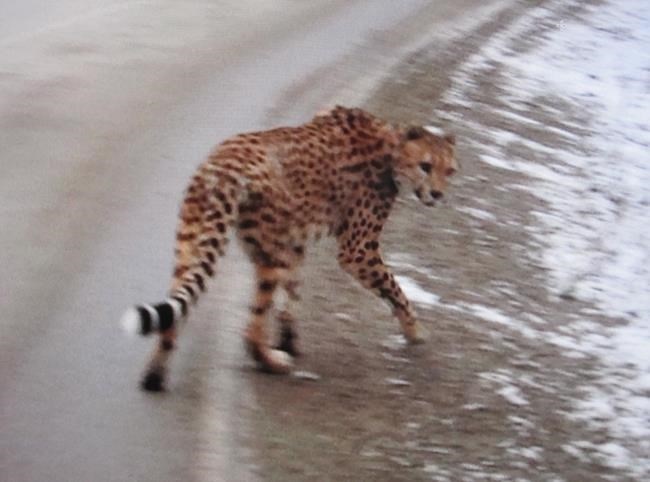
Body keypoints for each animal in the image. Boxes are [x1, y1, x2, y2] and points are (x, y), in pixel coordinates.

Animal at [120, 106, 456, 392]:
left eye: (449, 170)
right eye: (426, 166)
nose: (437, 195)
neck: (392, 148)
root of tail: (222, 164)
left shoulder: (295, 241)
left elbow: (292, 293)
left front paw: (289, 340)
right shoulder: (357, 250)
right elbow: (395, 289)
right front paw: (415, 330)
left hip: (191, 244)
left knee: (174, 313)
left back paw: (154, 376)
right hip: (267, 256)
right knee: (251, 328)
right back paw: (271, 362)